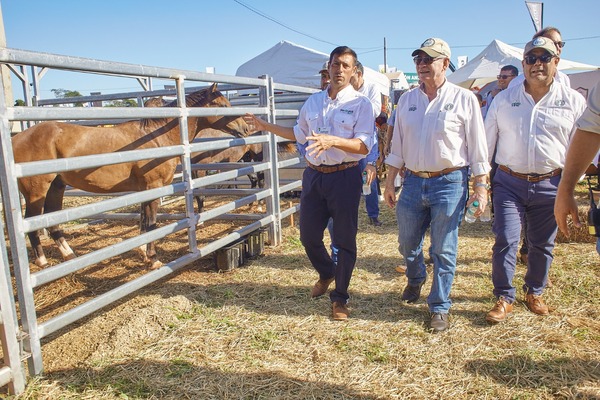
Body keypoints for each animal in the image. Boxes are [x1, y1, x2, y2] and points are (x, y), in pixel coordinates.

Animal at [11, 82, 251, 268]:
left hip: (56, 187)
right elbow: (151, 223)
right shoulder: (153, 187)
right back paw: (42, 262)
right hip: (37, 191)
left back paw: (70, 256)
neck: (156, 138)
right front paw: (153, 259)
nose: (246, 128)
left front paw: (144, 253)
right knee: (32, 222)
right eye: (222, 105)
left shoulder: (144, 190)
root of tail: (16, 137)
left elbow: (144, 222)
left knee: (52, 223)